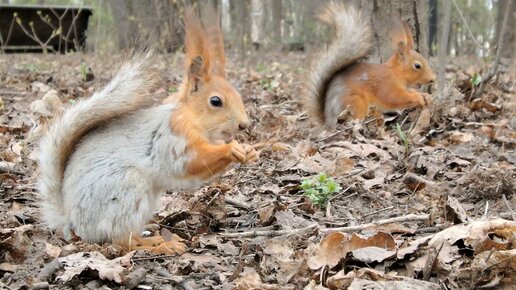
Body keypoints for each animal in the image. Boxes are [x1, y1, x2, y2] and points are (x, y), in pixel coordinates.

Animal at [37, 7, 256, 254]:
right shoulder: (171, 138)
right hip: (126, 189)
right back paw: (161, 245)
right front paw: (231, 150)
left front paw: (248, 150)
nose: (244, 124)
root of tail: (73, 224)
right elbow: (192, 162)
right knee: (123, 241)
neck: (192, 117)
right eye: (216, 101)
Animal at [306, 2, 436, 127]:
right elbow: (395, 97)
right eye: (417, 66)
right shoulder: (386, 84)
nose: (433, 79)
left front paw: (426, 96)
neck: (395, 72)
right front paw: (417, 98)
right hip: (354, 102)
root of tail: (328, 122)